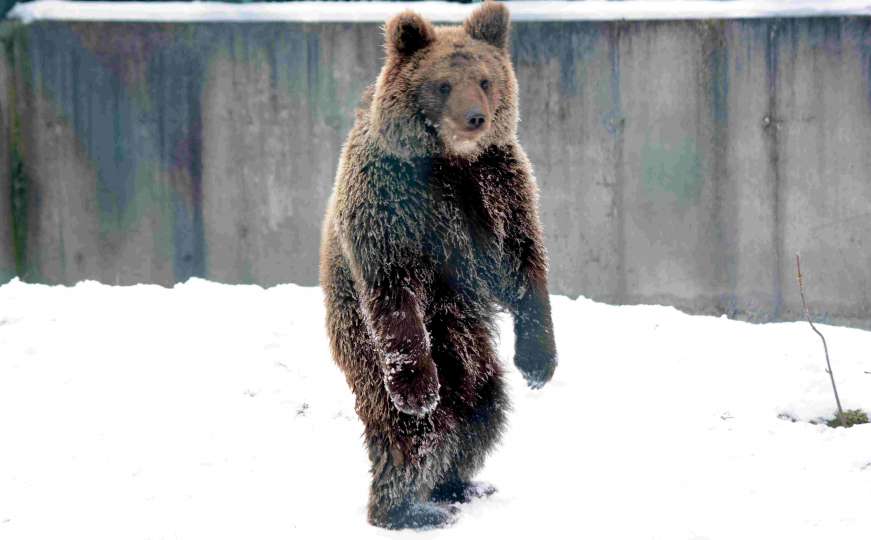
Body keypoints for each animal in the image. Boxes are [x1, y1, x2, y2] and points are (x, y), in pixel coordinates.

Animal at [320, 0, 560, 528]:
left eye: (486, 79)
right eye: (443, 83)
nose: (475, 118)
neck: (450, 161)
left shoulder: (499, 188)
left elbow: (525, 266)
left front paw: (539, 362)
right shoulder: (393, 202)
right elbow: (393, 291)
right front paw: (417, 391)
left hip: (468, 347)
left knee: (483, 409)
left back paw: (460, 484)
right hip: (372, 347)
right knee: (414, 433)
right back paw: (407, 507)